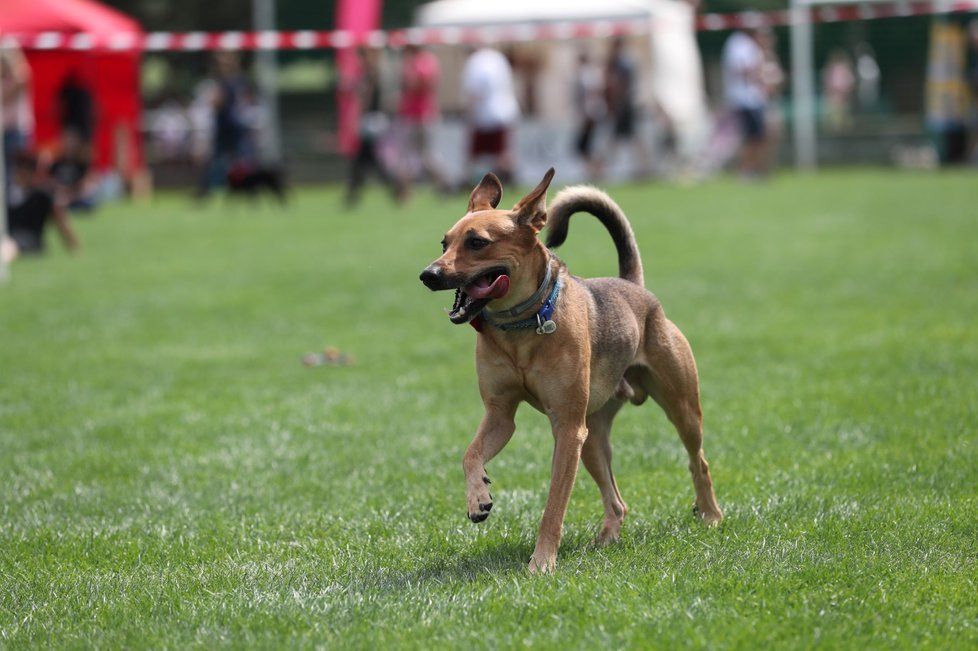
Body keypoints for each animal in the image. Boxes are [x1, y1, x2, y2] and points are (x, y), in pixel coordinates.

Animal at [416, 169, 720, 576]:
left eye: (477, 242)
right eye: (444, 242)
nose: (428, 274)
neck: (521, 326)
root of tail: (634, 287)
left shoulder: (567, 429)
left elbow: (554, 506)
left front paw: (541, 563)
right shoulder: (500, 415)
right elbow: (471, 453)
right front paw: (478, 497)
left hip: (679, 408)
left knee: (697, 460)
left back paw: (710, 514)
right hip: (592, 437)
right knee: (616, 500)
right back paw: (607, 539)